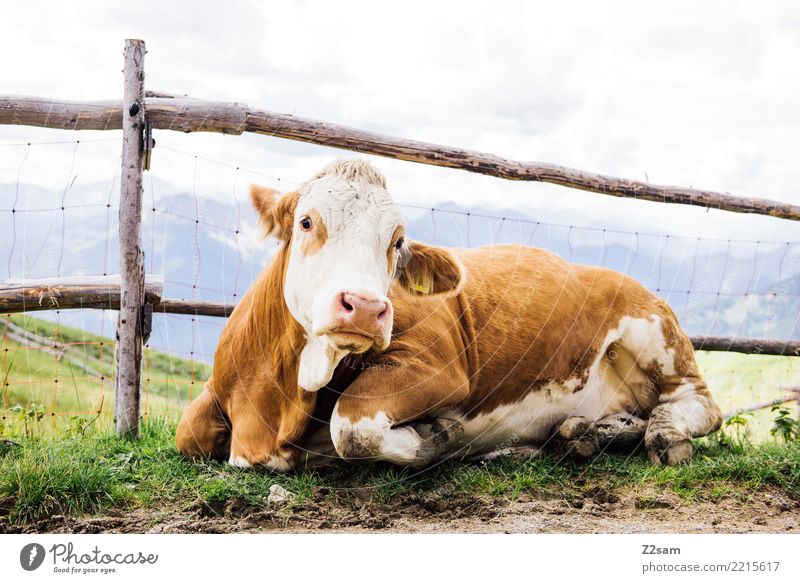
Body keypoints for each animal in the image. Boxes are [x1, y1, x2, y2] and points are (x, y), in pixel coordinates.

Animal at [175, 157, 724, 472]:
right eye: (307, 221)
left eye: (397, 242)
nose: (367, 307)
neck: (274, 404)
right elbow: (187, 432)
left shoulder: (436, 366)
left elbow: (350, 426)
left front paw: (441, 436)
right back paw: (581, 435)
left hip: (654, 332)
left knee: (697, 405)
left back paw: (663, 435)